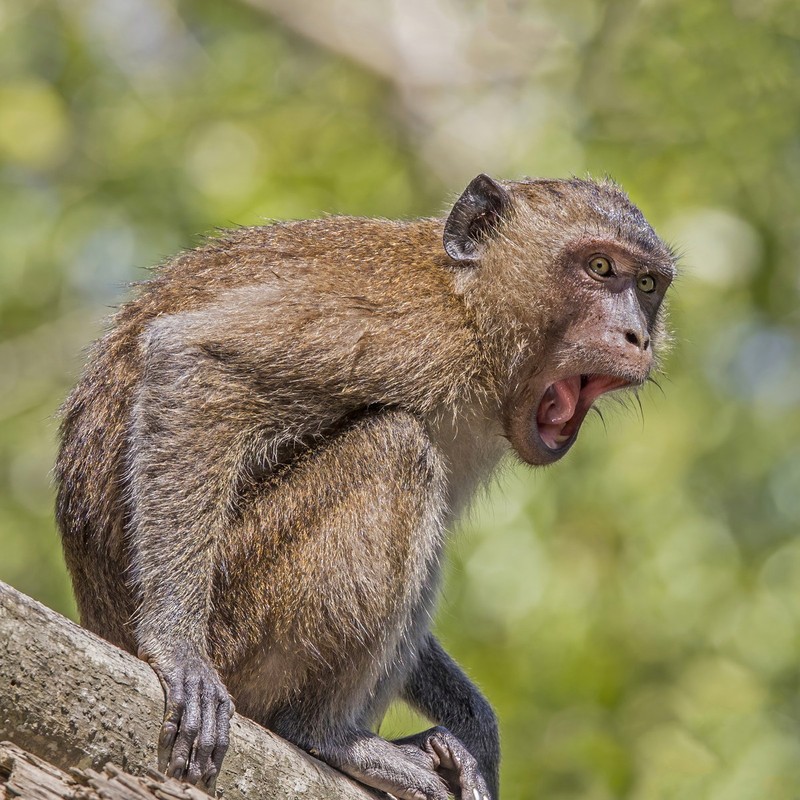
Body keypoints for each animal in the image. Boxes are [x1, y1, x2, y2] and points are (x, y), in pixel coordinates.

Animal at [54, 175, 676, 800]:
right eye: (600, 267)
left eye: (647, 285)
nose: (637, 336)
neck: (472, 306)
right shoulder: (407, 328)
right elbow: (198, 358)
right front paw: (176, 649)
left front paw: (478, 730)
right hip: (239, 620)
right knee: (393, 448)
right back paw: (323, 734)